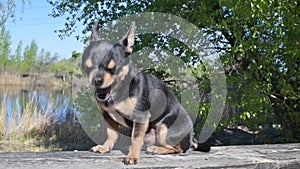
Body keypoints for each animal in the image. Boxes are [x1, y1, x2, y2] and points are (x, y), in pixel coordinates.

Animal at [81, 20, 210, 164]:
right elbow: (111, 134)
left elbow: (135, 138)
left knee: (179, 149)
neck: (117, 91)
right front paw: (105, 147)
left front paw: (132, 156)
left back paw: (157, 149)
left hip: (164, 130)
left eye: (113, 68)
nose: (96, 80)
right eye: (87, 67)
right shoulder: (108, 116)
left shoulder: (140, 116)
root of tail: (192, 137)